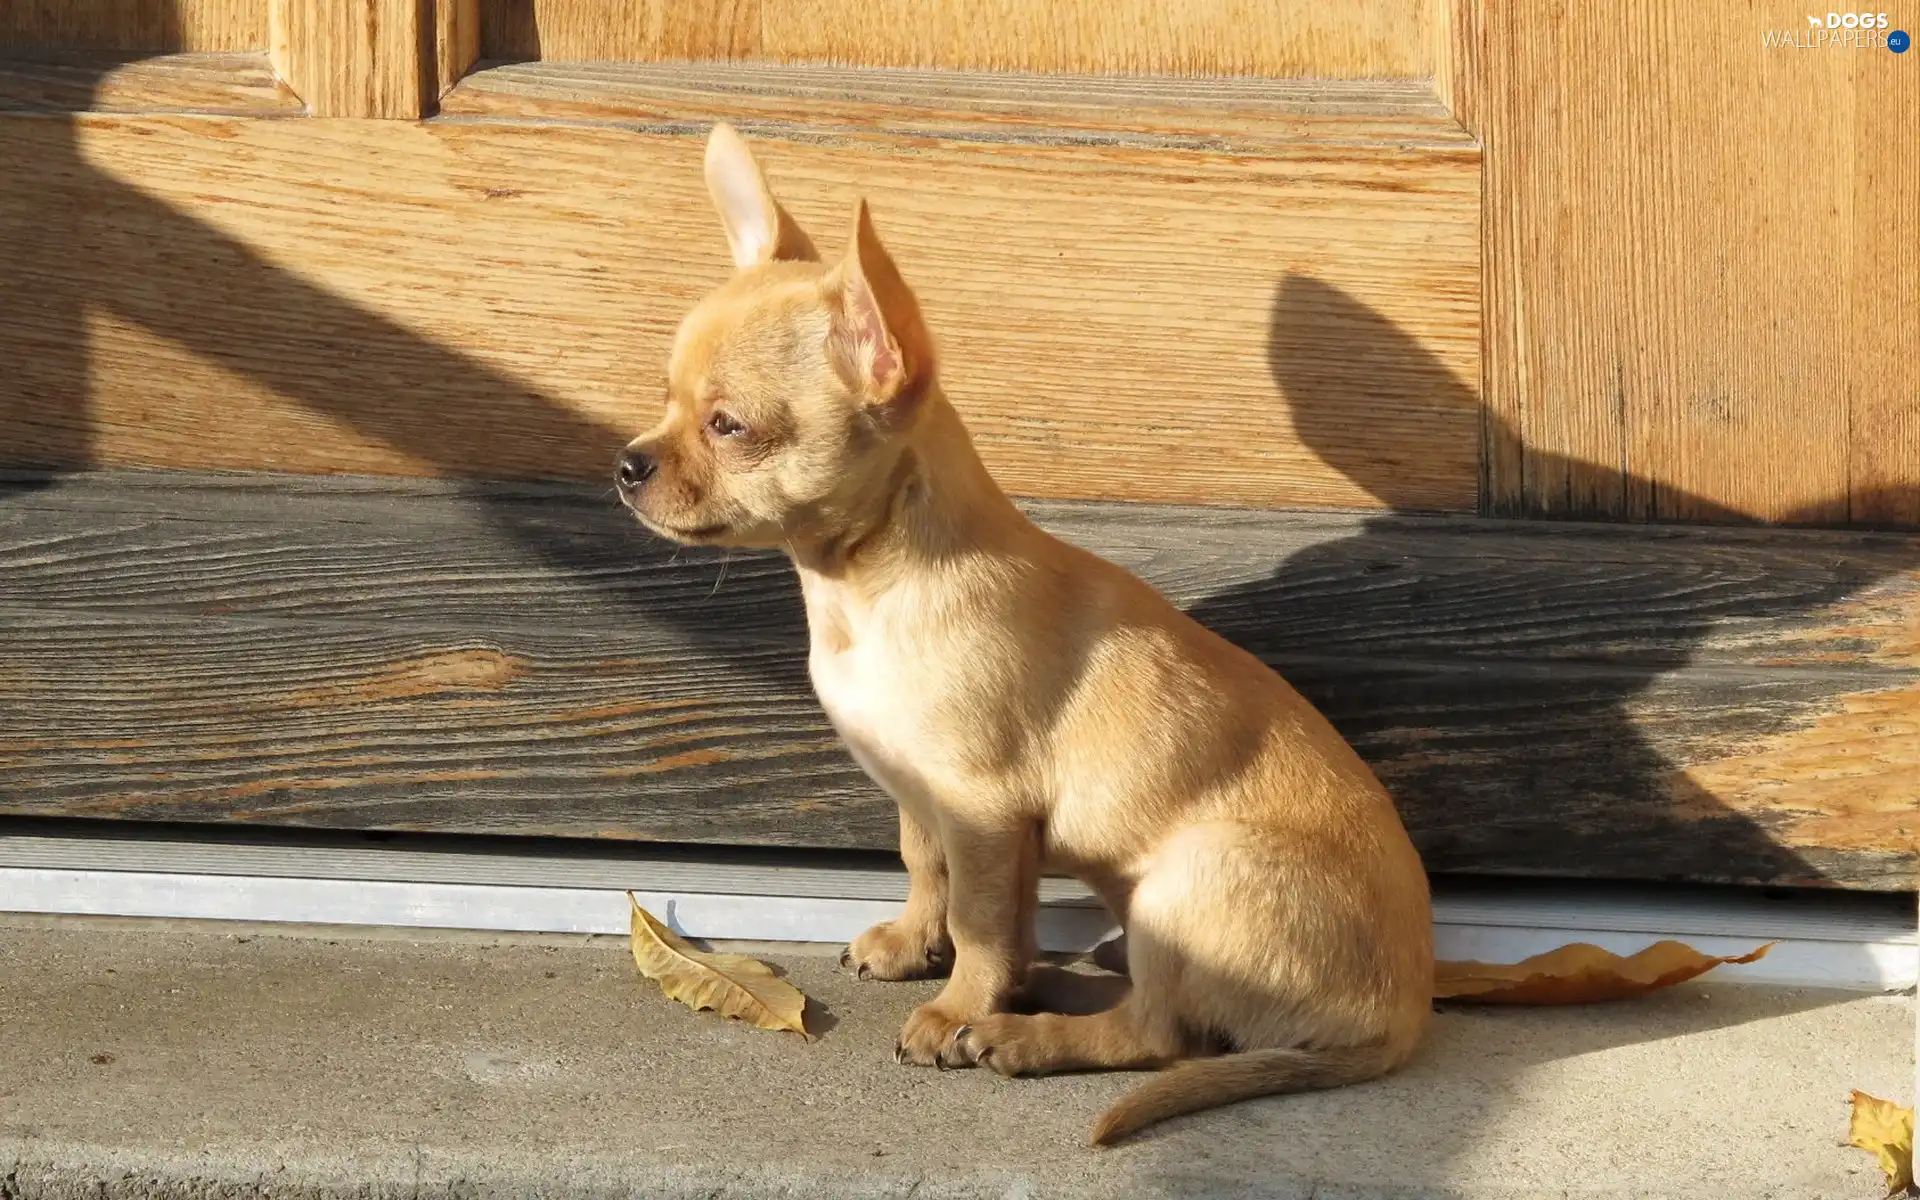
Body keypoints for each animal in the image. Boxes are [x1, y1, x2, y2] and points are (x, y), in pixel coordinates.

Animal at [622, 121, 1436, 1144]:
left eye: (728, 426)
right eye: (663, 399)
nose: (625, 464)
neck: (864, 589)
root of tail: (1405, 1014)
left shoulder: (982, 806)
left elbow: (982, 917)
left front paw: (958, 1009)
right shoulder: (926, 796)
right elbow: (930, 872)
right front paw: (916, 947)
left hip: (1186, 882)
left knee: (1158, 1035)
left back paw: (1025, 1035)